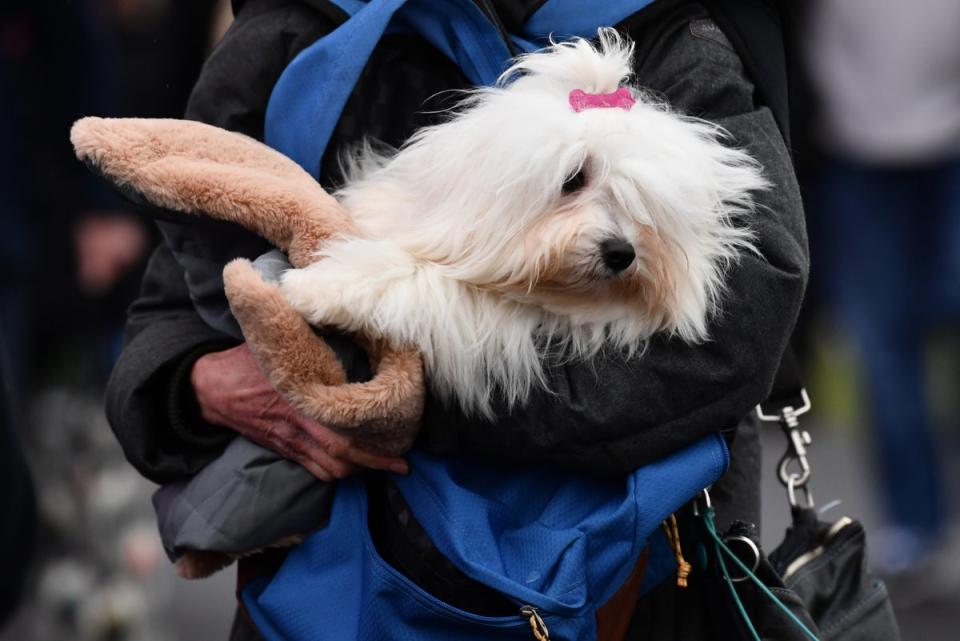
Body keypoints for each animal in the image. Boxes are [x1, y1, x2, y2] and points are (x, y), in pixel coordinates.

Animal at [278, 31, 764, 416]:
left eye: (641, 202)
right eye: (573, 178)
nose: (621, 253)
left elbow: (421, 282)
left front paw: (315, 287)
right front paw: (312, 286)